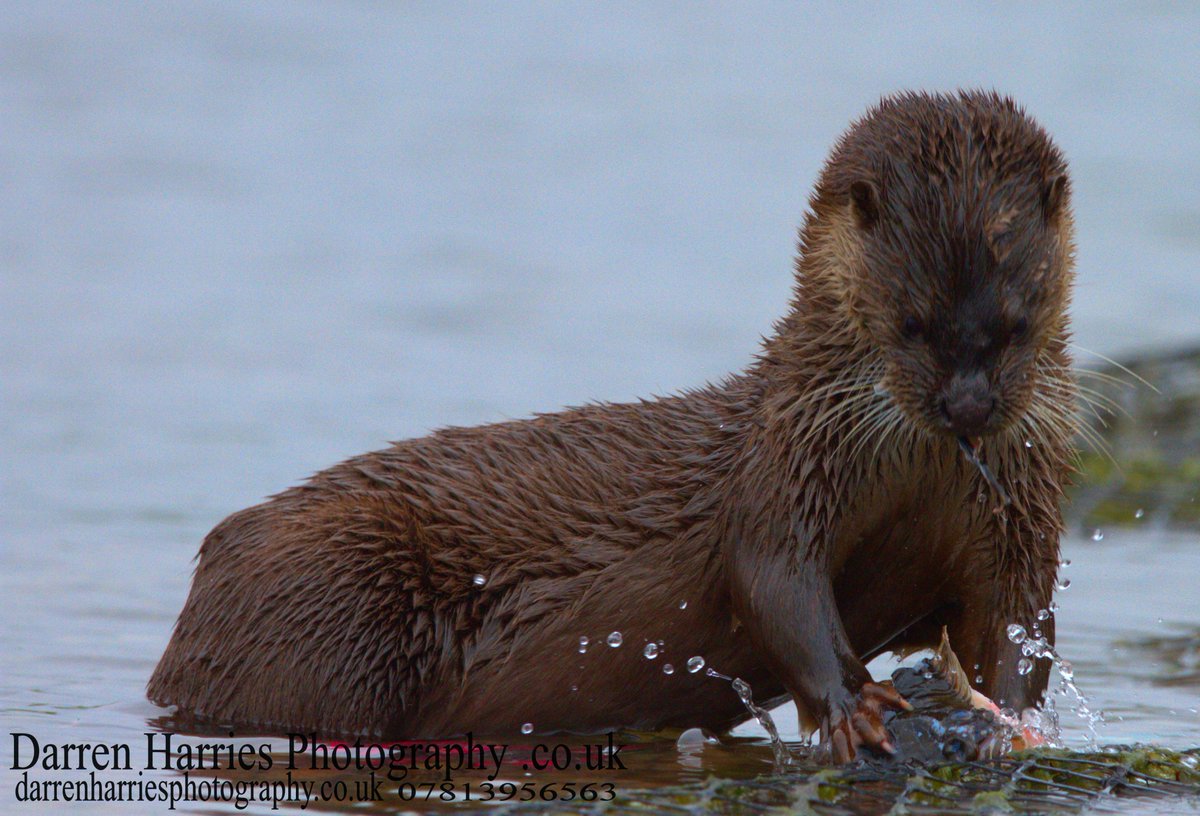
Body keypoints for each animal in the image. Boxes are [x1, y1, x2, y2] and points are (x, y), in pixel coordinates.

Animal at [149, 90, 1076, 762]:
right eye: (912, 323)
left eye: (1017, 323)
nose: (968, 407)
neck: (911, 476)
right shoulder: (782, 469)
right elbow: (774, 584)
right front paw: (856, 708)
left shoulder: (1023, 508)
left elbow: (1020, 620)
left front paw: (1008, 726)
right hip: (332, 601)